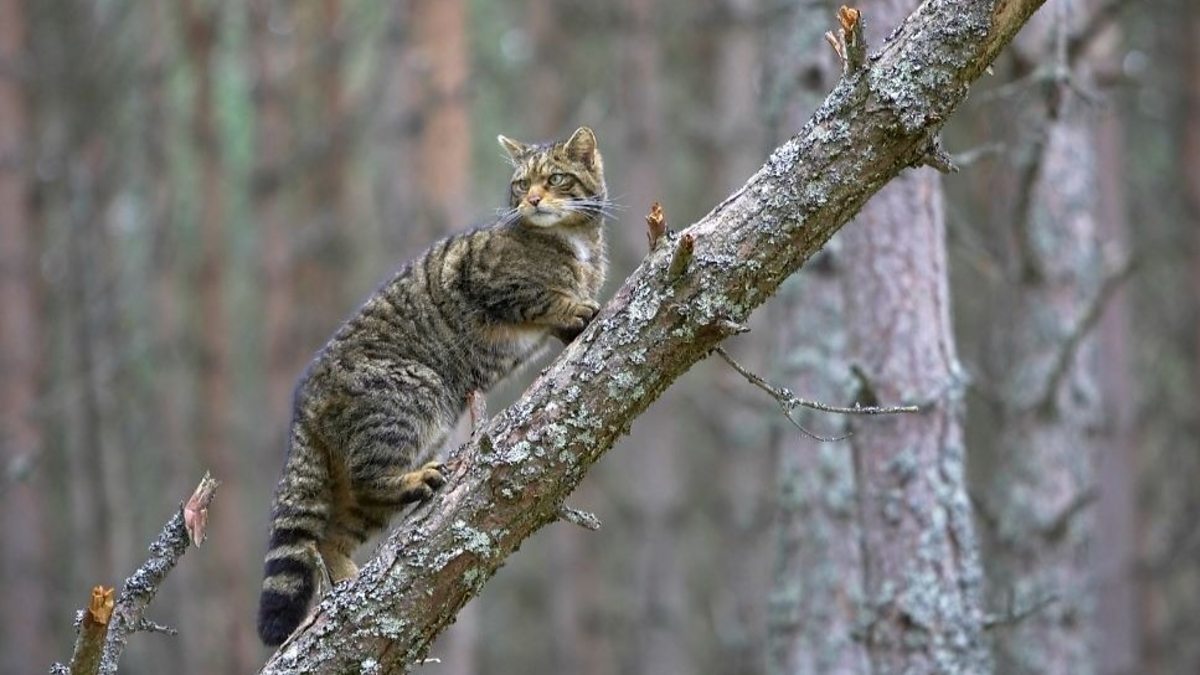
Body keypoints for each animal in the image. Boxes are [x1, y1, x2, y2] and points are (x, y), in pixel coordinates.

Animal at [254, 123, 609, 643]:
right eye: (522, 183)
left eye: (556, 178)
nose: (533, 200)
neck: (573, 241)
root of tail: (303, 401)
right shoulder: (485, 277)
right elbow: (541, 296)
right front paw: (573, 304)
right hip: (417, 395)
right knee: (364, 480)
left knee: (332, 534)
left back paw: (347, 582)